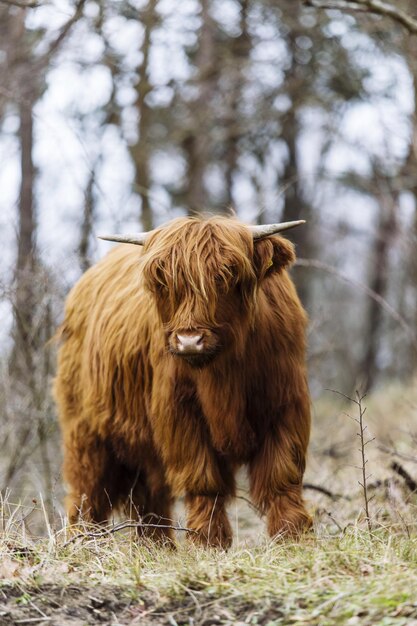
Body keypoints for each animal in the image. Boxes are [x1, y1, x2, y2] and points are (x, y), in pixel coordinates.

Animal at [53, 216, 310, 544]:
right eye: (164, 281)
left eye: (226, 274)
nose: (189, 341)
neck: (224, 372)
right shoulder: (180, 414)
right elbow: (203, 480)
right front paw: (208, 542)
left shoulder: (285, 403)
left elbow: (282, 476)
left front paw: (293, 536)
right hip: (85, 432)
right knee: (88, 493)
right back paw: (83, 543)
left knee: (149, 496)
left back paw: (156, 546)